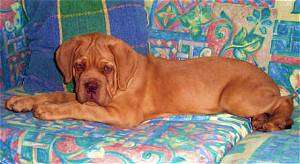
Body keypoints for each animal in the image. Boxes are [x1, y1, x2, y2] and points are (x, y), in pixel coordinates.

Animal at [5, 32, 296, 131]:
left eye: (107, 69)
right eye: (78, 66)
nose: (91, 86)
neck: (124, 80)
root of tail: (269, 79)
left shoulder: (122, 114)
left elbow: (81, 107)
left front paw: (47, 110)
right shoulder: (79, 92)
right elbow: (59, 94)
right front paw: (23, 100)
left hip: (235, 97)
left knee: (286, 98)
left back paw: (277, 121)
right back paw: (263, 119)